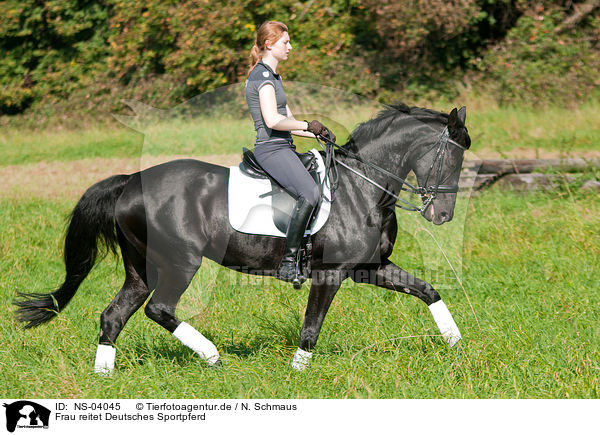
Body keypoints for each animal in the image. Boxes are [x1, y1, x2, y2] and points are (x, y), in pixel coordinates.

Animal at [16, 102, 472, 372]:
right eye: (451, 156)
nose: (444, 215)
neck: (362, 187)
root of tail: (131, 181)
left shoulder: (368, 267)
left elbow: (428, 290)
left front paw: (457, 344)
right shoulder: (330, 274)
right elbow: (311, 326)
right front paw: (298, 374)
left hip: (141, 268)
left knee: (113, 315)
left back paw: (105, 377)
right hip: (180, 263)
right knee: (159, 309)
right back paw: (213, 356)